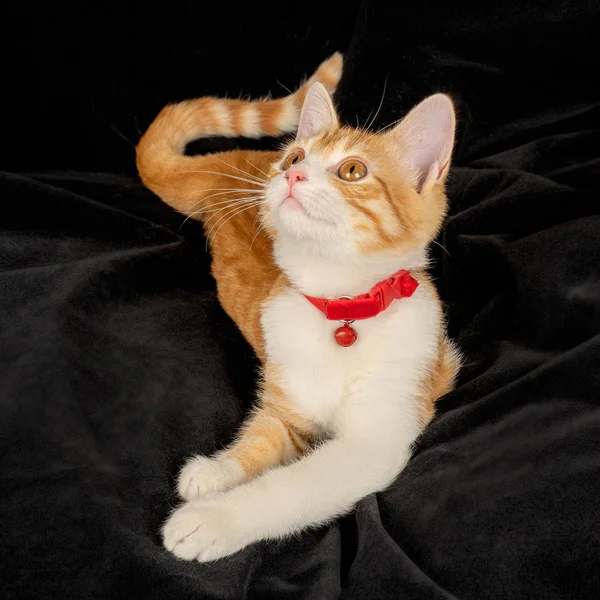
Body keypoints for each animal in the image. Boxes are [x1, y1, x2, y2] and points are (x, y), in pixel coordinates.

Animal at [138, 52, 462, 564]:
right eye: (295, 157)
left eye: (352, 171)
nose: (291, 173)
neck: (341, 312)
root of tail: (234, 161)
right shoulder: (287, 403)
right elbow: (262, 439)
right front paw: (216, 471)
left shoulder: (376, 438)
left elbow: (287, 488)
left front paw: (211, 518)